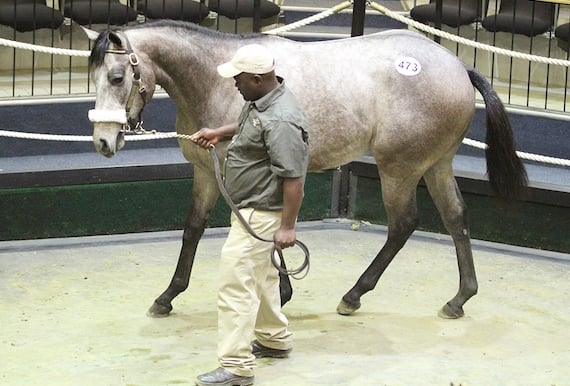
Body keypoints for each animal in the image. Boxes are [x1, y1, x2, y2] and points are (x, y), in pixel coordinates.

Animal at [83, 18, 524, 320]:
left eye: (117, 77)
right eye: (94, 77)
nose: (104, 142)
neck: (217, 80)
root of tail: (457, 66)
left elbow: (259, 228)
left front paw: (280, 292)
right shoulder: (207, 174)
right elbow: (193, 228)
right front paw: (168, 296)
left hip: (399, 168)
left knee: (403, 224)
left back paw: (354, 296)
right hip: (436, 165)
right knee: (456, 218)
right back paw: (459, 298)